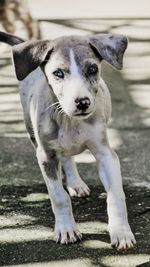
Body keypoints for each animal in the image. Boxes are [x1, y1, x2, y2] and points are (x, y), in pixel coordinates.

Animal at [0, 31, 136, 251]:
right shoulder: (46, 156)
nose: (82, 102)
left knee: (68, 158)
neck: (69, 120)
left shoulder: (105, 154)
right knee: (64, 158)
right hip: (32, 133)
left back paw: (76, 183)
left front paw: (121, 233)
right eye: (58, 73)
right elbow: (59, 197)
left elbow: (116, 196)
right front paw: (66, 229)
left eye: (93, 69)